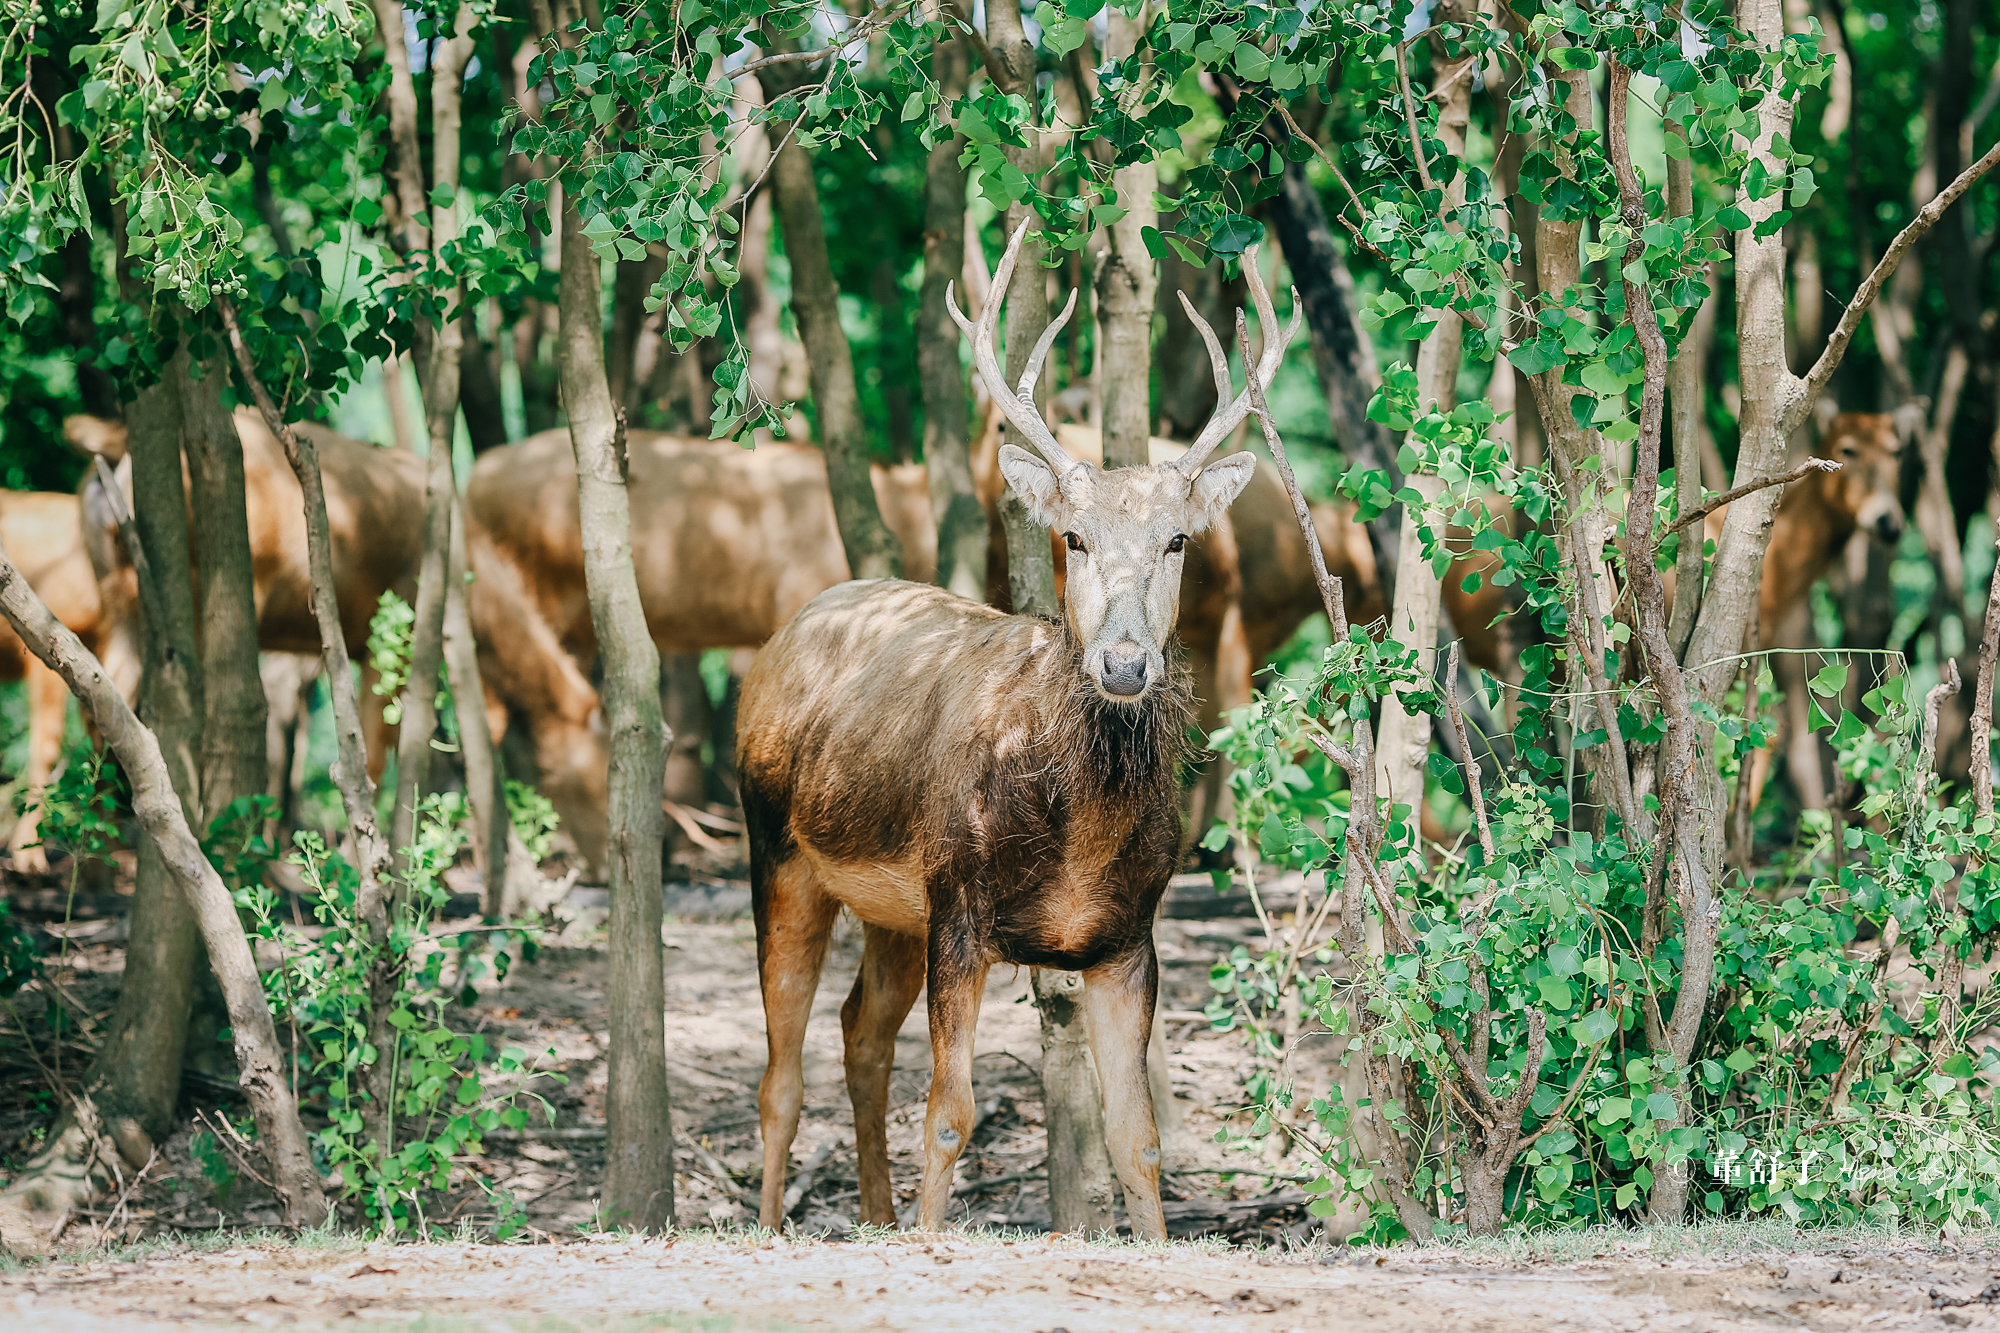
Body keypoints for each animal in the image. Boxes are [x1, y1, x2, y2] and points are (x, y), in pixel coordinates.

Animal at [736, 220, 1296, 1232]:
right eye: (1072, 536)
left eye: (1177, 539)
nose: (1125, 663)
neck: (1074, 837)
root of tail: (789, 629)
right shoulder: (958, 902)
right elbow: (948, 1115)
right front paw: (930, 1234)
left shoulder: (1127, 936)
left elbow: (1138, 1138)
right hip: (777, 844)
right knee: (781, 1074)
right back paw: (774, 1225)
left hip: (892, 910)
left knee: (858, 1032)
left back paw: (875, 1219)